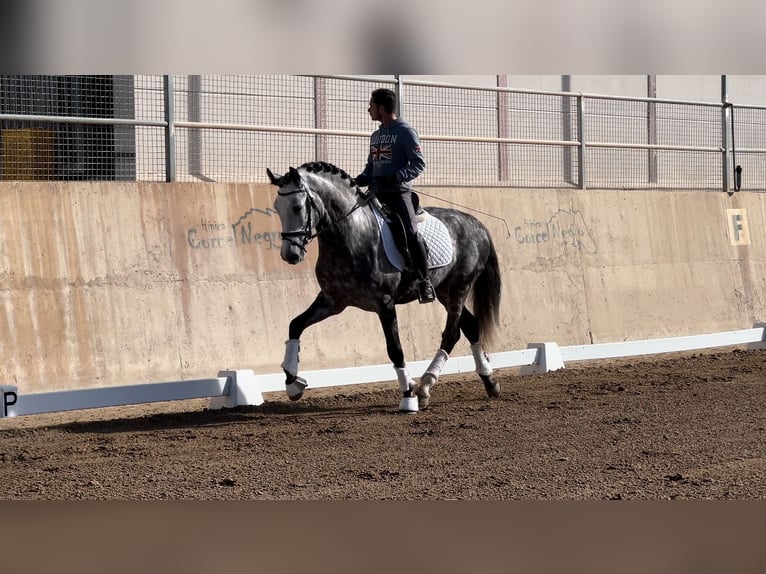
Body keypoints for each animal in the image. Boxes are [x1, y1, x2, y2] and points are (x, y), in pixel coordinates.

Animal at [266, 162, 504, 414]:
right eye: (277, 208)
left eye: (297, 207)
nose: (290, 255)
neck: (353, 234)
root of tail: (476, 223)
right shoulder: (332, 301)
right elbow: (295, 325)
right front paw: (292, 383)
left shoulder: (385, 304)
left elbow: (395, 349)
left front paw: (408, 396)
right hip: (444, 291)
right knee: (471, 326)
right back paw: (489, 382)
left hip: (459, 288)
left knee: (451, 334)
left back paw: (424, 387)